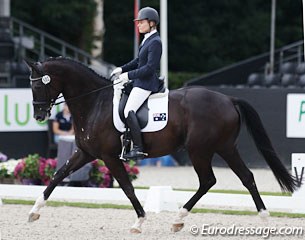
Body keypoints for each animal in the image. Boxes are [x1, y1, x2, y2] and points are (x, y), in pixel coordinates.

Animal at [25, 57, 296, 232]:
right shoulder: (85, 153)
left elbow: (127, 187)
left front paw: (139, 221)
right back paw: (264, 218)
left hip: (200, 150)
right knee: (245, 177)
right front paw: (34, 211)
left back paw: (179, 218)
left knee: (209, 180)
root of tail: (229, 98)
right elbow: (58, 175)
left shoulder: (109, 157)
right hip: (225, 147)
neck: (94, 102)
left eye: (37, 84)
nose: (38, 115)